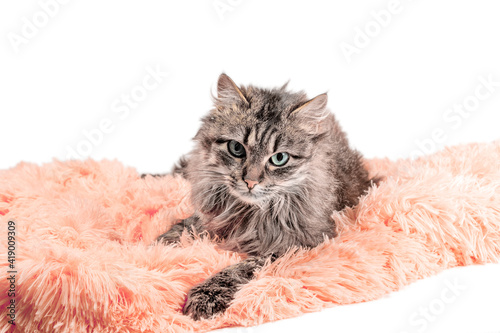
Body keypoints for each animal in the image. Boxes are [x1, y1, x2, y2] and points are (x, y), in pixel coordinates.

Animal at [154, 73, 374, 320]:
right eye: (236, 148)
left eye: (279, 158)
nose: (250, 181)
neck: (248, 210)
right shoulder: (210, 215)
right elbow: (181, 228)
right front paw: (157, 248)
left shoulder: (296, 244)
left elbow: (241, 268)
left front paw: (207, 294)